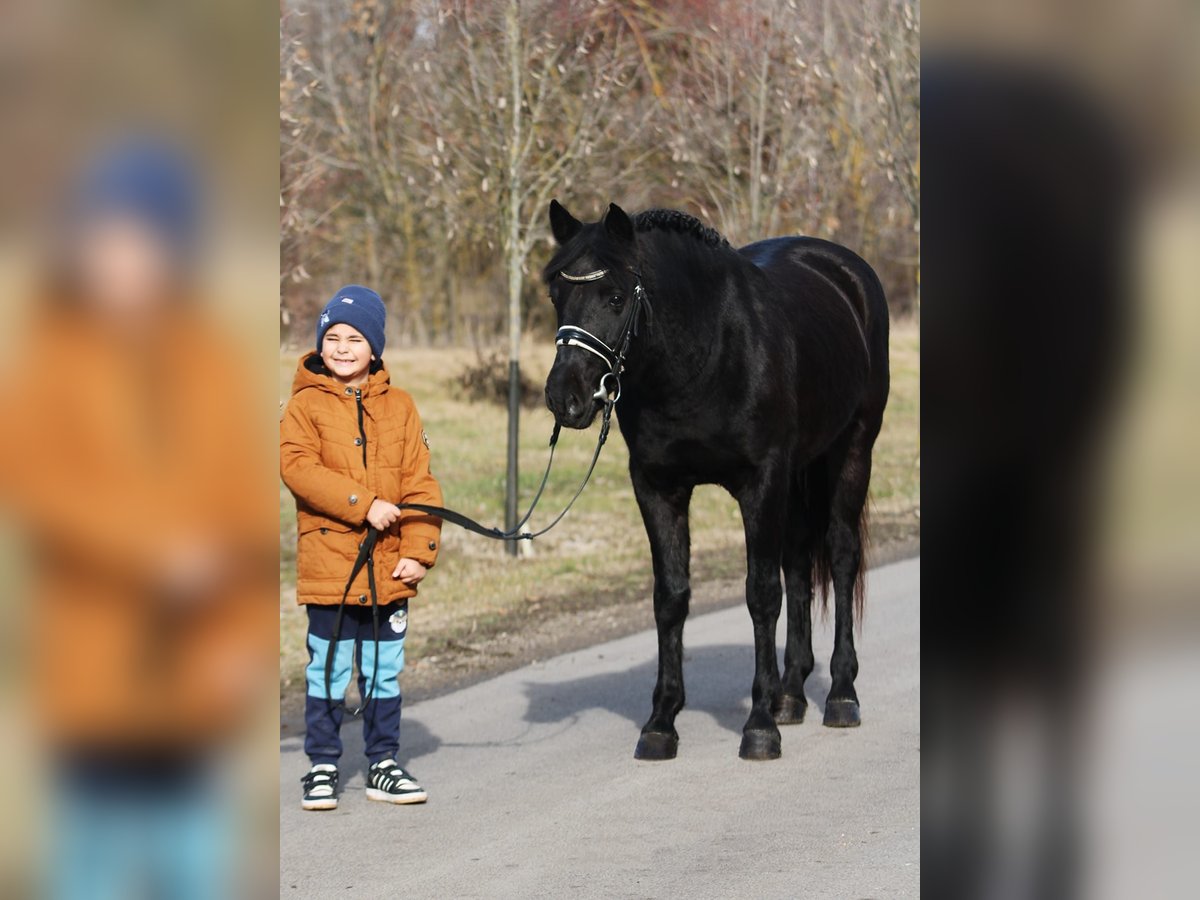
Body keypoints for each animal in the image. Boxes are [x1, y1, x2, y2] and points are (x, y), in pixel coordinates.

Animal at [544, 202, 892, 763]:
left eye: (615, 297)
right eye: (556, 295)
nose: (564, 398)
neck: (705, 354)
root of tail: (847, 271)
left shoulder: (761, 482)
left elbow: (760, 594)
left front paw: (758, 726)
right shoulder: (657, 488)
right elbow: (671, 597)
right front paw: (661, 723)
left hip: (852, 450)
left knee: (840, 557)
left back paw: (840, 694)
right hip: (799, 473)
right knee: (799, 563)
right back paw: (791, 695)